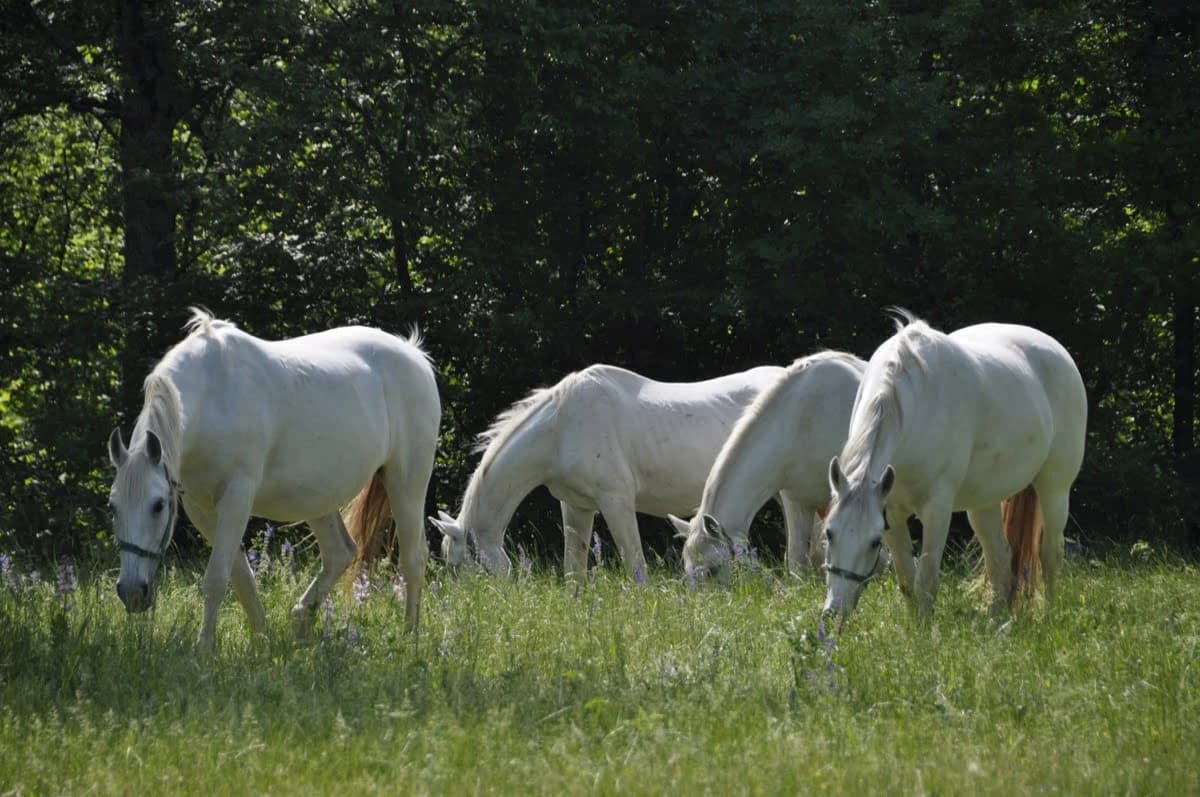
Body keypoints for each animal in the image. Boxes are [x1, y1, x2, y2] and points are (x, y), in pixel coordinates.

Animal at [108, 307, 441, 652]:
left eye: (158, 505)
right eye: (112, 507)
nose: (132, 592)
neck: (213, 394)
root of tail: (414, 354)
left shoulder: (237, 497)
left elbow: (216, 577)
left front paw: (204, 649)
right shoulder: (201, 507)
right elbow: (241, 577)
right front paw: (261, 638)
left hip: (406, 484)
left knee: (413, 559)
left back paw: (409, 636)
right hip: (318, 499)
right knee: (340, 553)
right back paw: (300, 621)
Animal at [429, 362, 787, 578]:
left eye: (460, 568)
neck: (561, 428)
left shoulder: (616, 502)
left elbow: (636, 566)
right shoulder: (576, 506)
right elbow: (574, 568)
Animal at [825, 312, 1089, 624]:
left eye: (874, 542)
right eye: (829, 533)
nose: (834, 612)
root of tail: (1058, 351)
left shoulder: (936, 510)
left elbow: (925, 582)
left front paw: (924, 633)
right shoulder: (891, 512)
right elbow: (907, 582)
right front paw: (912, 628)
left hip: (1054, 489)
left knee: (1050, 554)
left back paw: (1048, 615)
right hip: (983, 504)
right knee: (1001, 561)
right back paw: (996, 622)